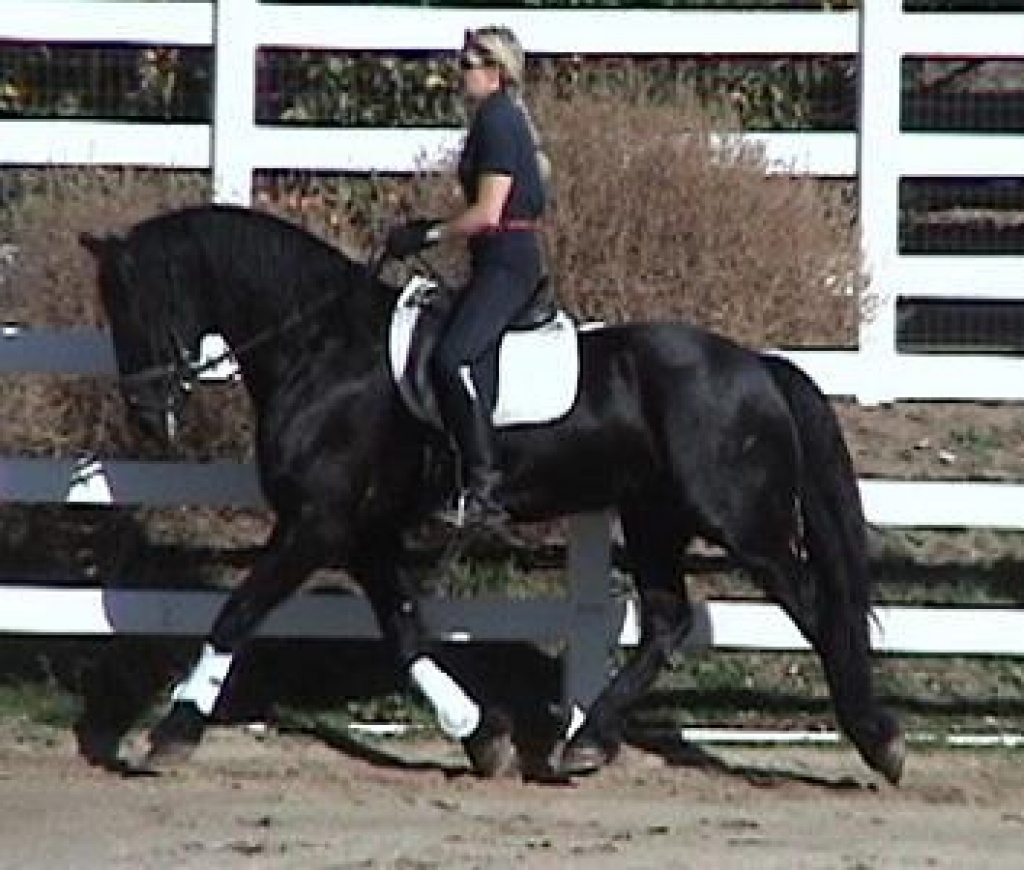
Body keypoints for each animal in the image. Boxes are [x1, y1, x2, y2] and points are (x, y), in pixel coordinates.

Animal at [79, 202, 905, 784]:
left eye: (139, 302)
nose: (147, 414)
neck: (323, 349)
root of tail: (760, 366)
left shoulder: (315, 524)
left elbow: (236, 613)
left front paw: (171, 734)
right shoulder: (362, 533)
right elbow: (405, 634)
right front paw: (483, 738)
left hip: (744, 524)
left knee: (816, 608)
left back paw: (879, 741)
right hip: (653, 517)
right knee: (669, 620)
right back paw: (585, 743)